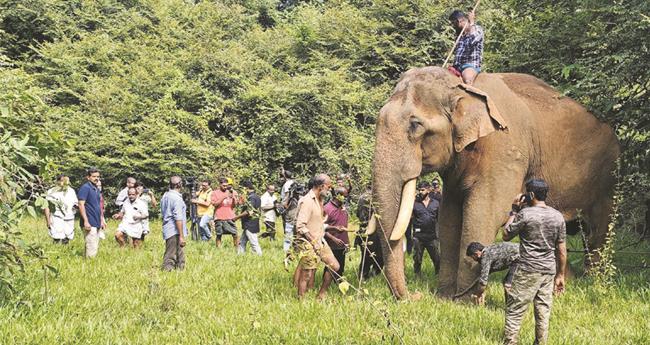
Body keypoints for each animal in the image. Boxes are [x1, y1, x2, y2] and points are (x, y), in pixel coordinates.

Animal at [370, 66, 616, 296]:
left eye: (415, 125)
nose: (416, 295)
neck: (462, 89)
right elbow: (449, 216)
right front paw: (445, 297)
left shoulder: (504, 149)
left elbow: (484, 211)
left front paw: (465, 300)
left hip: (608, 178)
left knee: (599, 230)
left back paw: (593, 280)